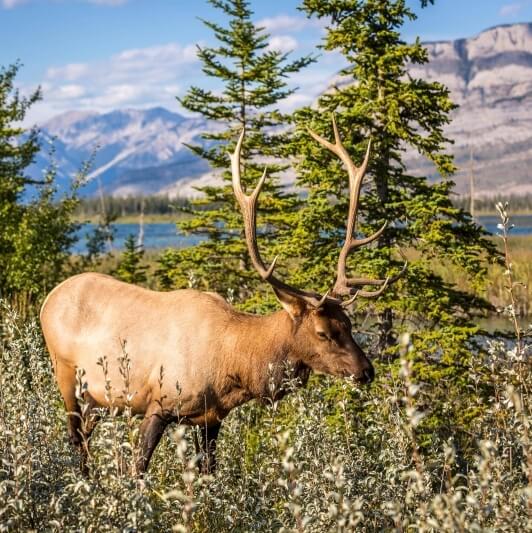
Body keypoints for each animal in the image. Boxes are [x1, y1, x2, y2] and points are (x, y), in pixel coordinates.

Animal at [39, 118, 402, 476]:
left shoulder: (211, 418)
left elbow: (209, 472)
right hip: (66, 375)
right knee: (76, 438)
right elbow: (138, 469)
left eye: (350, 325)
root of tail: (48, 299)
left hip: (97, 399)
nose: (366, 371)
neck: (235, 363)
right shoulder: (159, 403)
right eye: (323, 332)